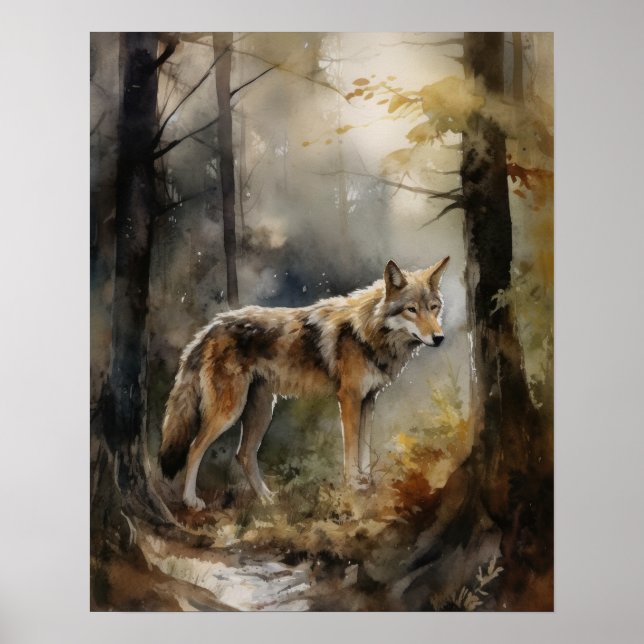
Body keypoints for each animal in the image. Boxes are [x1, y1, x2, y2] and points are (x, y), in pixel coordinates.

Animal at [159, 257, 449, 510]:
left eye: (433, 308)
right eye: (411, 309)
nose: (439, 338)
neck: (367, 332)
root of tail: (208, 329)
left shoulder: (369, 400)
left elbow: (365, 448)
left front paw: (367, 483)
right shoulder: (349, 399)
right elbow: (351, 450)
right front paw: (353, 485)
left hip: (262, 411)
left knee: (244, 455)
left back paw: (267, 500)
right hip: (229, 412)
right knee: (194, 448)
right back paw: (191, 501)